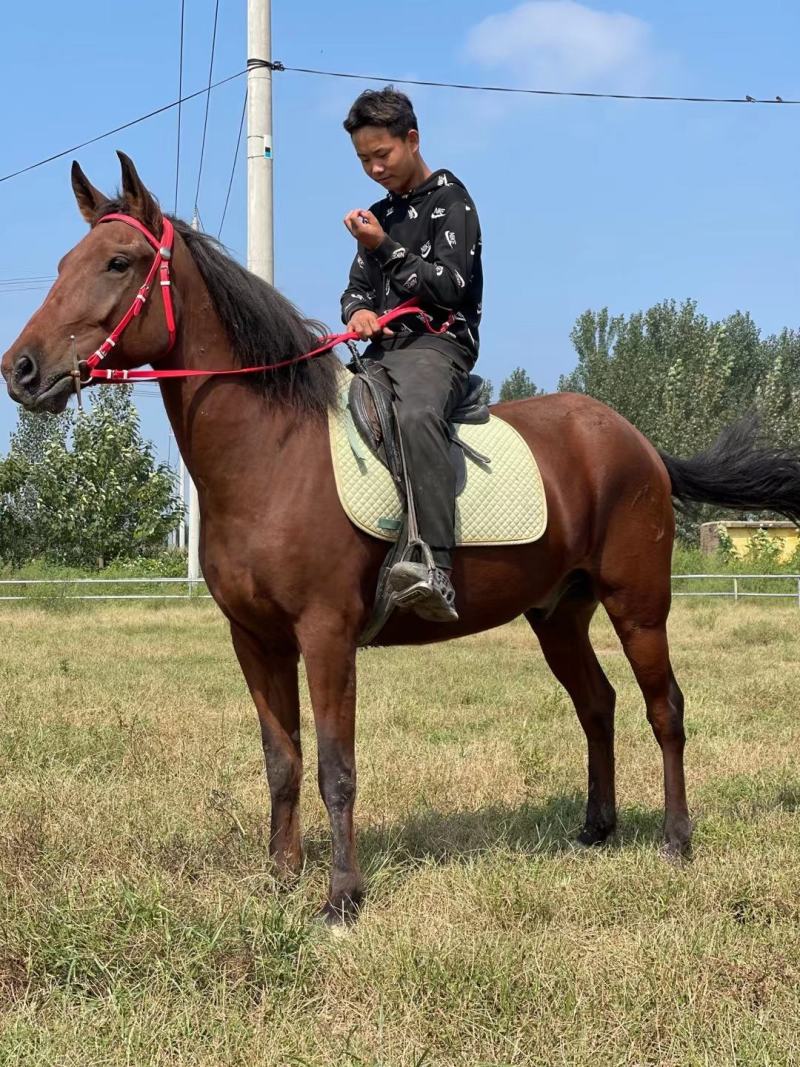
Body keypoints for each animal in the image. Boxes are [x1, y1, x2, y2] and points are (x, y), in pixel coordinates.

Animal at [4, 152, 800, 923]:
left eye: (118, 262)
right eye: (65, 262)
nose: (21, 369)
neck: (274, 451)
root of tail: (639, 443)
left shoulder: (325, 634)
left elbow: (336, 767)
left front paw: (341, 897)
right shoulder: (255, 639)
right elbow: (282, 760)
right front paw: (281, 876)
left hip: (639, 606)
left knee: (666, 710)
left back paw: (675, 839)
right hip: (557, 614)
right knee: (596, 703)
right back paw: (596, 827)